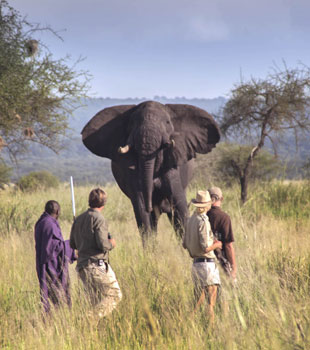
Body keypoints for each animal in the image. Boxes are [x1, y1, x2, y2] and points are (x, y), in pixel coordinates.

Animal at [81, 100, 219, 245]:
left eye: (167, 122)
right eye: (132, 124)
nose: (150, 207)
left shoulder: (172, 166)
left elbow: (179, 205)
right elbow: (141, 210)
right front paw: (150, 250)